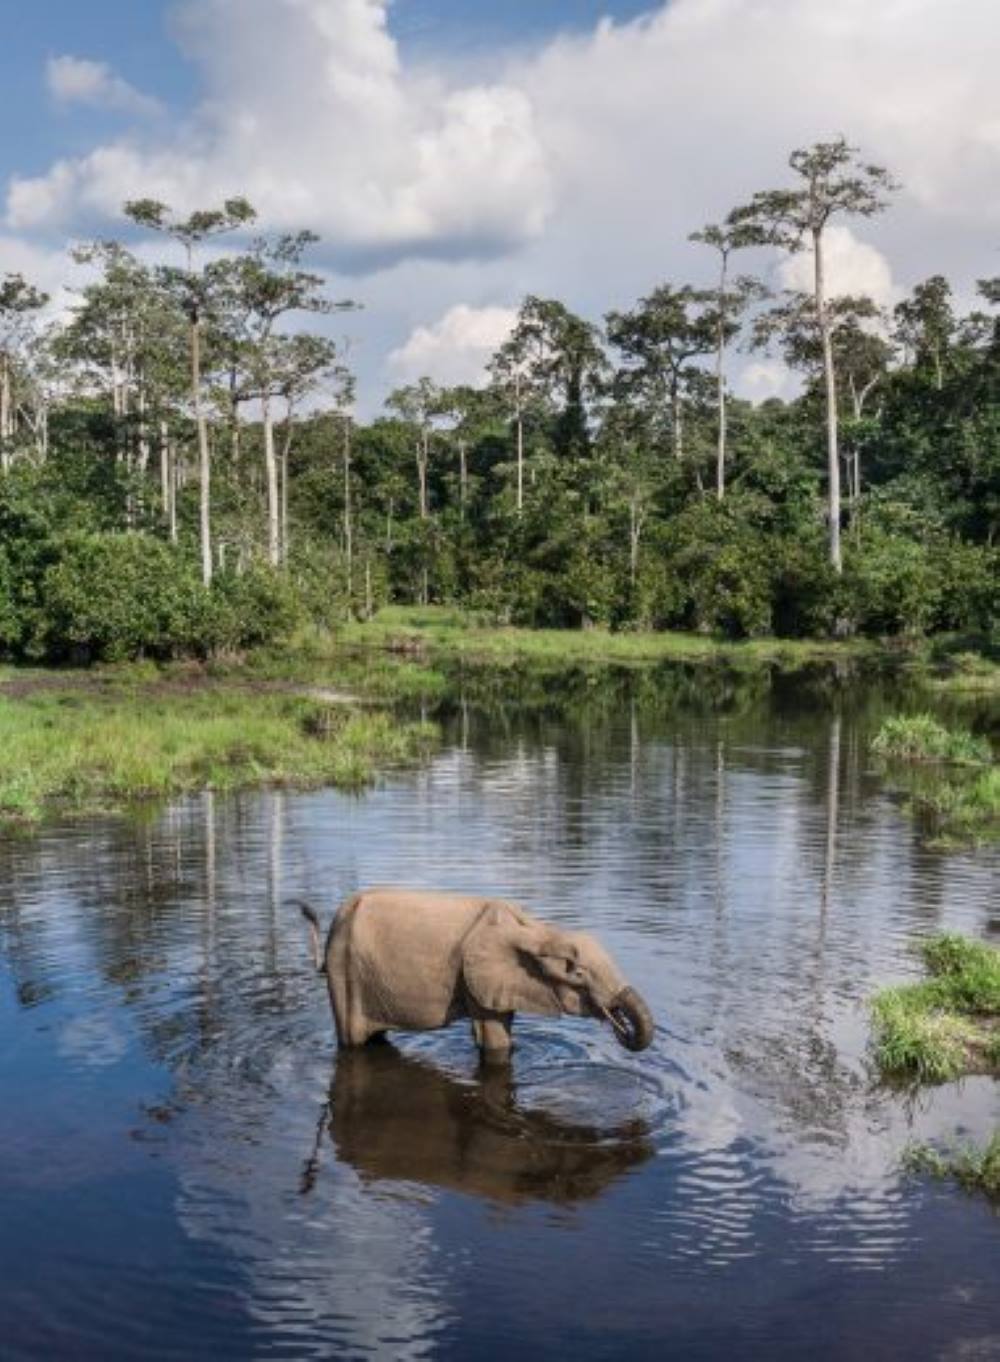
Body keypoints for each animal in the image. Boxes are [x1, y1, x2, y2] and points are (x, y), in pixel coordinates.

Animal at [299, 887, 654, 1057]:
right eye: (577, 974)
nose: (621, 1026)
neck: (536, 929)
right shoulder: (476, 976)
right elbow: (494, 1040)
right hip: (344, 968)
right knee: (354, 1041)